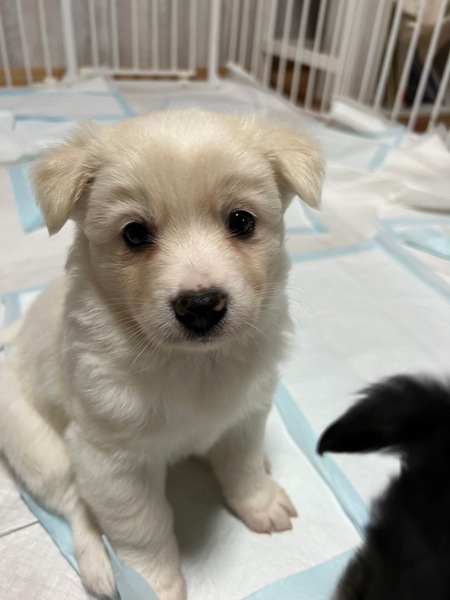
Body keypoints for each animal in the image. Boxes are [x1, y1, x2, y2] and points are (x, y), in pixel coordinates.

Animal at [0, 109, 324, 600]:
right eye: (134, 233)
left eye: (242, 221)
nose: (201, 306)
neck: (194, 364)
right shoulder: (111, 460)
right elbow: (142, 527)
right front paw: (154, 584)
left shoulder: (247, 417)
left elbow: (244, 467)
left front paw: (260, 502)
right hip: (40, 450)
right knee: (74, 502)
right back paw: (100, 565)